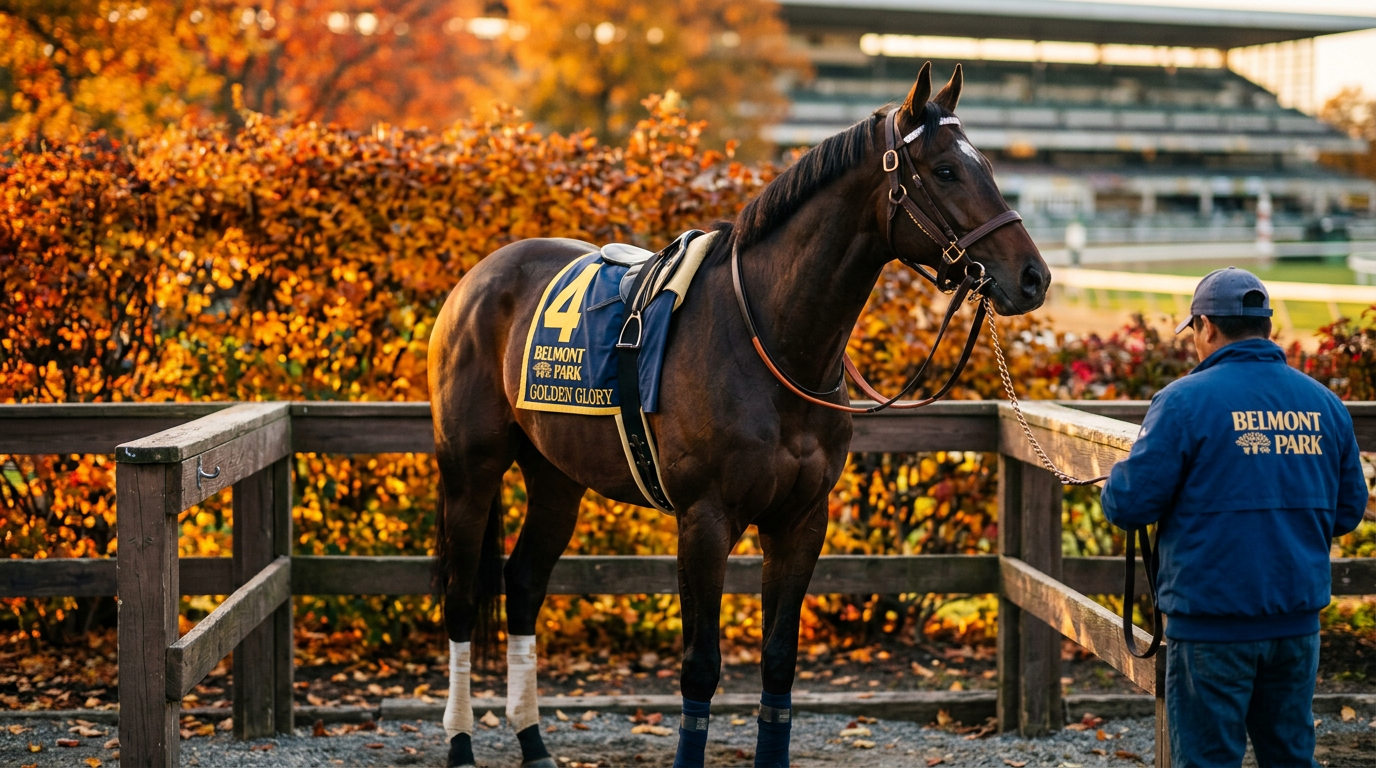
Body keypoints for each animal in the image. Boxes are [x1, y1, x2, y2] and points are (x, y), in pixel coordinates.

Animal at [427, 61, 1049, 768]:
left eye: (987, 166)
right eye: (945, 170)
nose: (1033, 277)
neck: (769, 342)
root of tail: (478, 278)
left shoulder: (801, 520)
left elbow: (779, 659)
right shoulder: (705, 520)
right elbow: (701, 666)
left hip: (556, 476)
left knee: (525, 584)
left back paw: (533, 742)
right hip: (469, 471)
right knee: (460, 597)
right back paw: (460, 745)